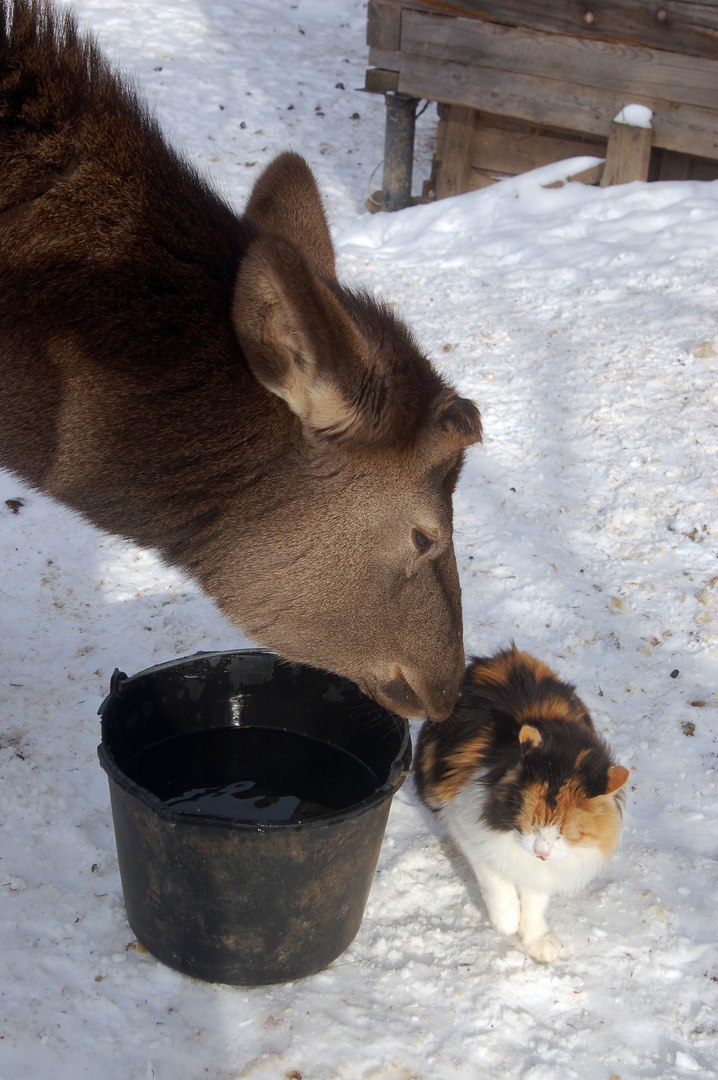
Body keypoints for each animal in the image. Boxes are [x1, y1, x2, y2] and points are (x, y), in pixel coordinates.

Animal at [414, 639, 626, 963]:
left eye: (565, 833)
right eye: (531, 823)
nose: (541, 852)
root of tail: (506, 656)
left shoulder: (544, 867)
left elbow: (536, 898)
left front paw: (536, 939)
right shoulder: (468, 825)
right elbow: (497, 880)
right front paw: (507, 922)